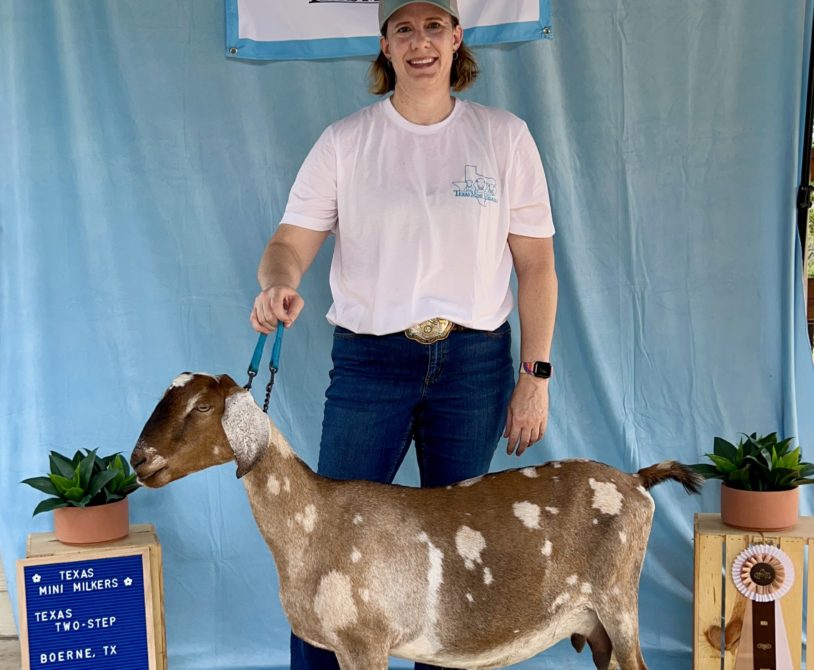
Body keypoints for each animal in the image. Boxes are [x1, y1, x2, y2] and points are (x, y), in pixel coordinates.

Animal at [129, 376, 700, 668]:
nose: (139, 460)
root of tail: (636, 480)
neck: (314, 521)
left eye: (203, 407)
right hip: (596, 626)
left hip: (618, 600)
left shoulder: (366, 640)